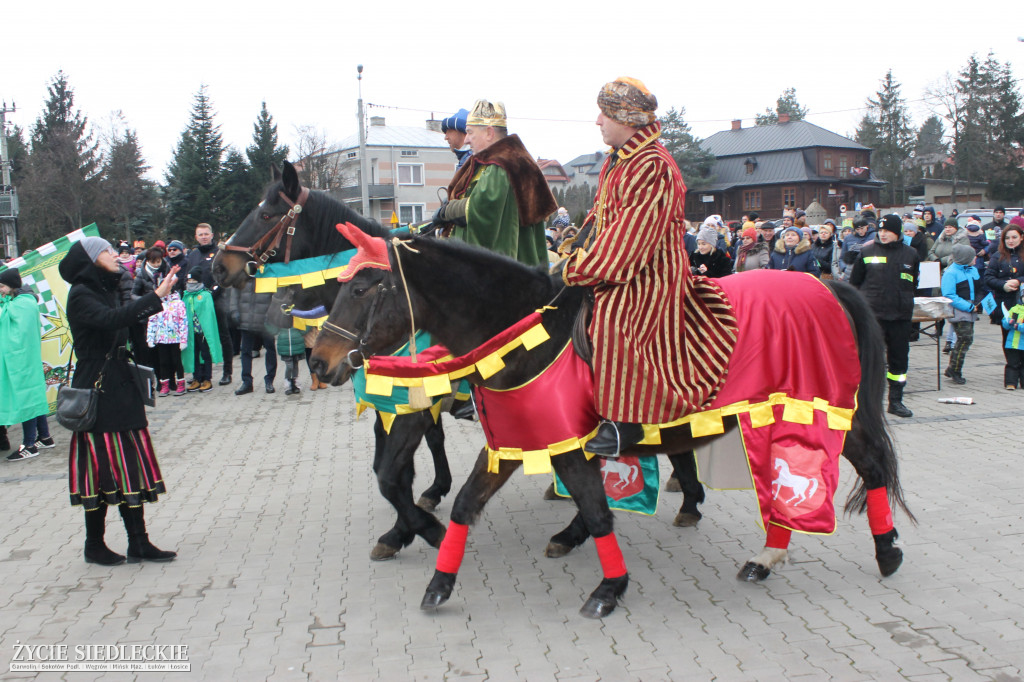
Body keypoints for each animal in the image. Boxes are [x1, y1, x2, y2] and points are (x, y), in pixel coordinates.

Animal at [212, 163, 452, 557]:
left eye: (266, 215)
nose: (218, 266)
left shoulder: (413, 403)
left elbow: (391, 474)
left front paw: (423, 528)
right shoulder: (390, 401)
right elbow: (393, 466)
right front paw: (404, 527)